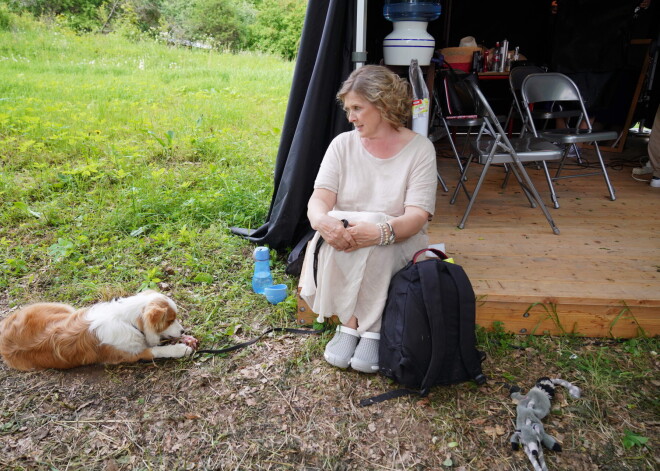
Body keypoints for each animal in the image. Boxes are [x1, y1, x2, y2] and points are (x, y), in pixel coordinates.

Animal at [0, 290, 197, 370]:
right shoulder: (131, 354)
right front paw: (181, 348)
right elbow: (157, 350)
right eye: (170, 320)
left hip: (64, 309)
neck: (127, 320)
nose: (183, 331)